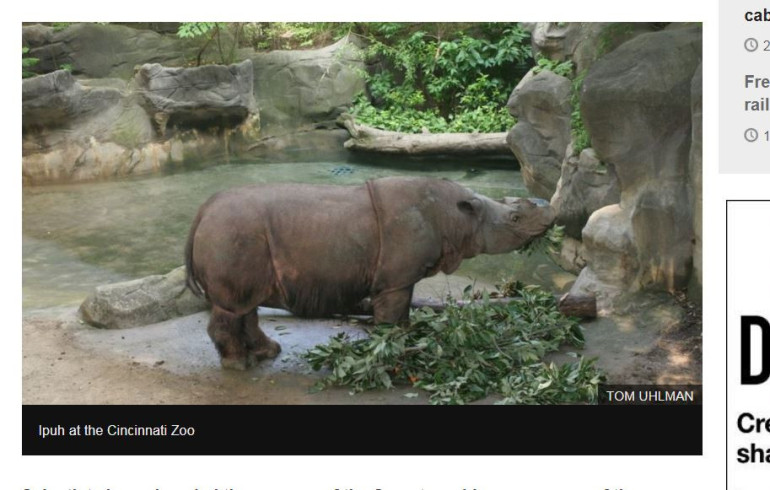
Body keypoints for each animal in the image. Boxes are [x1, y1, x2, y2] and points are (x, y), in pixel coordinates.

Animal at [185, 176, 555, 369]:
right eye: (515, 219)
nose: (550, 215)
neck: (457, 217)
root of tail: (202, 212)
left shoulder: (400, 276)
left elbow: (403, 310)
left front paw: (407, 340)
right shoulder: (395, 279)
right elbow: (392, 314)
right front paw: (393, 349)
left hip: (239, 235)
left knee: (246, 304)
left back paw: (267, 353)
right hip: (233, 232)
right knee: (234, 306)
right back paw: (238, 365)